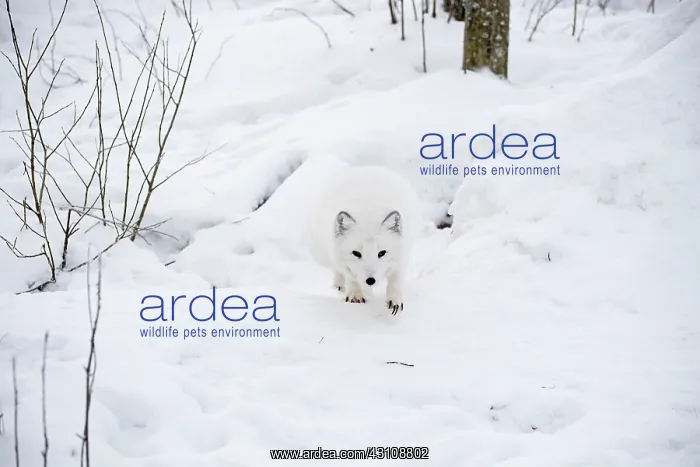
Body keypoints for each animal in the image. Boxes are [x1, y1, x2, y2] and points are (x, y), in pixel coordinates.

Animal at [306, 165, 421, 315]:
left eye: (382, 253)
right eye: (356, 253)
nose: (370, 280)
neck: (368, 208)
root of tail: (363, 168)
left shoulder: (402, 255)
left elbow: (396, 279)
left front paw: (394, 300)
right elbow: (350, 277)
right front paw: (355, 296)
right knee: (338, 272)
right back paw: (340, 287)